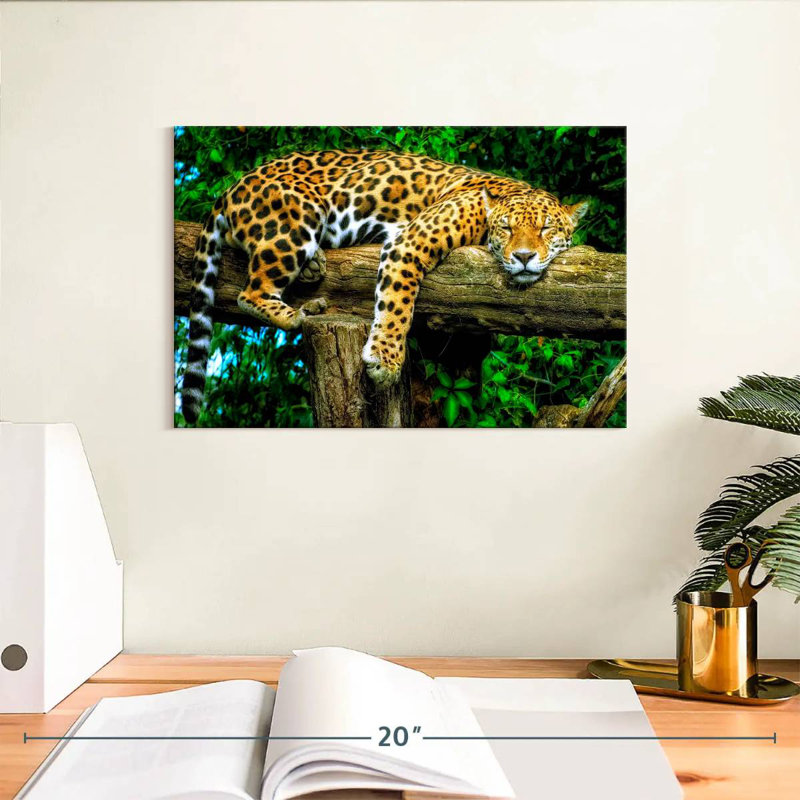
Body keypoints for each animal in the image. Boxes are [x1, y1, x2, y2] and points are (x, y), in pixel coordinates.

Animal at [181, 149, 588, 424]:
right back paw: (300, 314)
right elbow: (397, 306)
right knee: (249, 293)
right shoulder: (410, 241)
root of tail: (231, 187)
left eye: (546, 229)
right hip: (294, 221)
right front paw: (385, 361)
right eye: (506, 228)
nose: (523, 256)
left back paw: (313, 270)